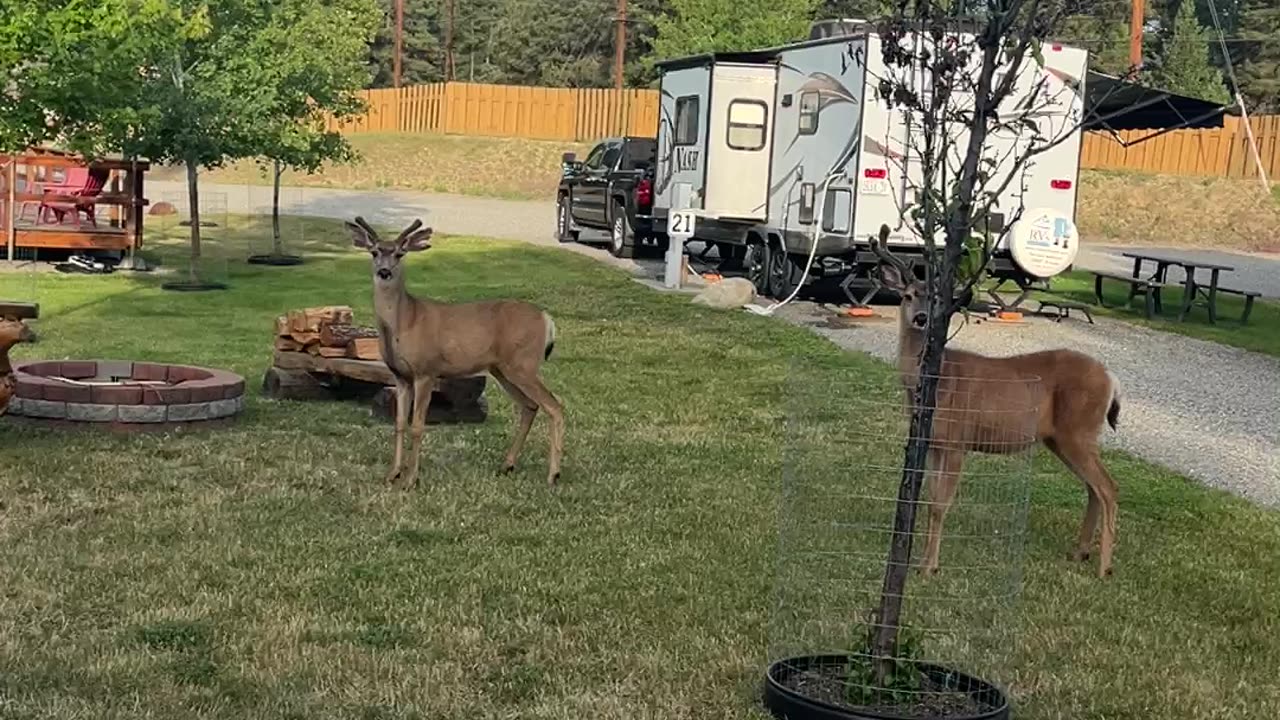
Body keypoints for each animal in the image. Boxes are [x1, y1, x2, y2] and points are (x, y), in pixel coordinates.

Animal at [345, 215, 565, 486]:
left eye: (399, 253)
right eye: (374, 252)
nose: (384, 272)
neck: (405, 321)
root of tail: (546, 319)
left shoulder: (426, 370)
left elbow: (417, 425)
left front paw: (411, 479)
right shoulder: (400, 376)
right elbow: (399, 424)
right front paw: (392, 474)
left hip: (524, 363)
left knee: (555, 406)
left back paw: (553, 474)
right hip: (504, 369)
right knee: (530, 406)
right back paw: (507, 465)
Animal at [870, 224, 1121, 576]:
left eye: (935, 299)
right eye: (907, 296)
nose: (920, 318)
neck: (934, 384)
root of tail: (1111, 379)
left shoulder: (958, 440)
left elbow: (940, 505)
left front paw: (929, 567)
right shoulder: (934, 443)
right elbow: (929, 500)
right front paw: (923, 562)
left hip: (1079, 431)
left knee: (1108, 488)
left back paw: (1104, 568)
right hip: (1061, 439)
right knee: (1093, 488)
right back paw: (1079, 553)